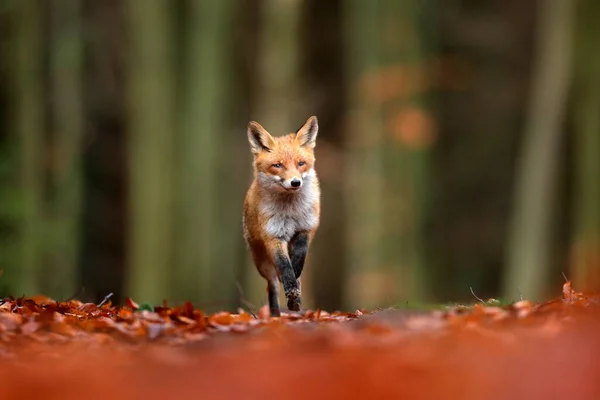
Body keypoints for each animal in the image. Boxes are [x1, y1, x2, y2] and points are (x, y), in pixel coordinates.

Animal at [241, 115, 322, 316]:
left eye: (301, 163)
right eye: (277, 165)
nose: (295, 182)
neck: (291, 211)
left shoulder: (306, 228)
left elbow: (299, 257)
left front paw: (296, 272)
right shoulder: (274, 236)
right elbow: (285, 267)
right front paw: (291, 289)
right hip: (261, 261)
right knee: (272, 285)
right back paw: (276, 315)